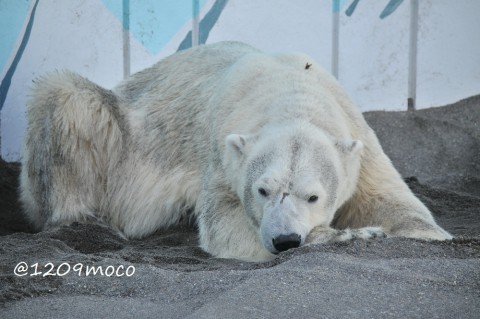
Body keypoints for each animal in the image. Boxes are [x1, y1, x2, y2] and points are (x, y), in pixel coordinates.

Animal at [20, 41, 452, 262]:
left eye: (313, 196)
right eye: (262, 190)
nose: (285, 240)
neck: (290, 88)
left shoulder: (357, 139)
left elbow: (391, 201)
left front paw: (425, 234)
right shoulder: (221, 150)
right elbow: (225, 226)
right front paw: (348, 236)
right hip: (123, 131)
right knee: (67, 99)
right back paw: (81, 221)